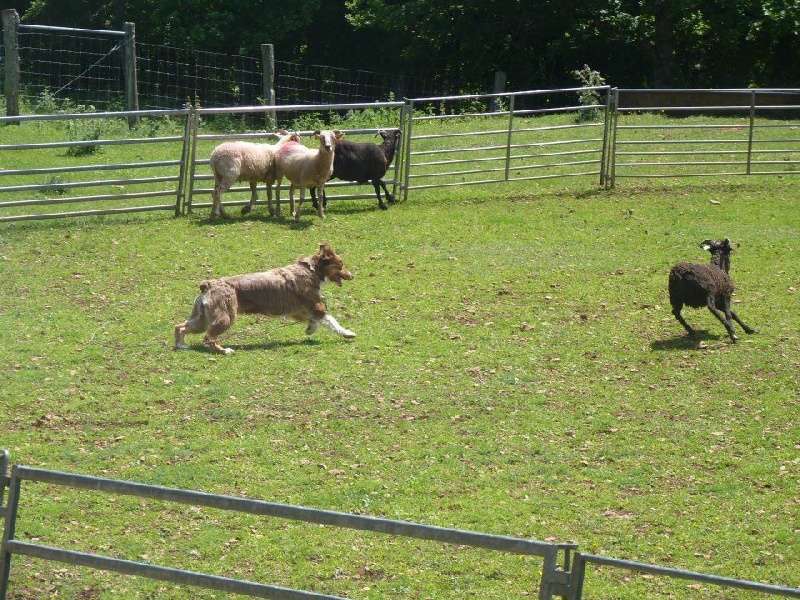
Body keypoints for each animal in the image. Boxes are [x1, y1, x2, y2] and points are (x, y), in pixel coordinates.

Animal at [177, 244, 354, 354]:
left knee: (180, 327)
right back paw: (225, 351)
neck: (312, 270)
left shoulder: (300, 310)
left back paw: (181, 346)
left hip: (202, 319)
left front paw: (310, 329)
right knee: (208, 338)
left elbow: (315, 321)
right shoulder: (315, 306)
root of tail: (208, 285)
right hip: (224, 318)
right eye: (341, 265)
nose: (352, 276)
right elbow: (331, 320)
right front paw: (347, 333)